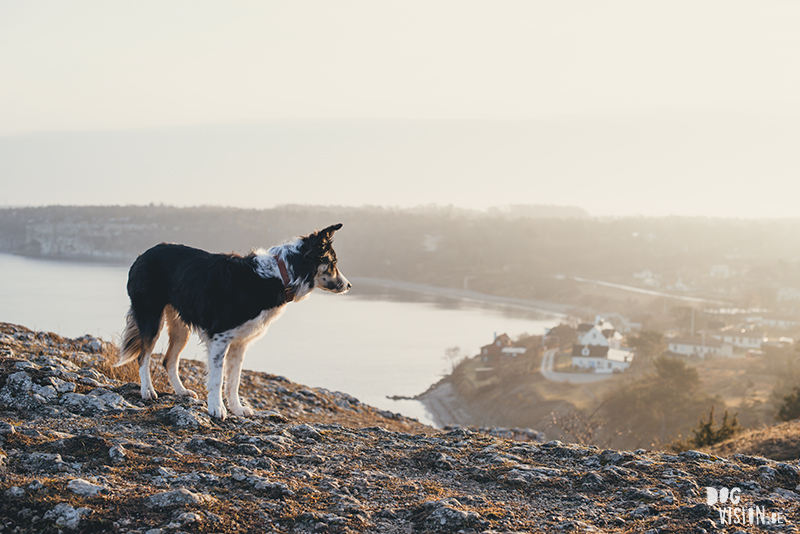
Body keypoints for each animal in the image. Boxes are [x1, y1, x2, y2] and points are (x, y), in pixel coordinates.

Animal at [116, 224, 350, 420]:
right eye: (333, 264)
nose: (348, 285)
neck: (280, 276)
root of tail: (143, 255)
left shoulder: (240, 342)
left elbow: (234, 380)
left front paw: (237, 409)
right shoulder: (220, 337)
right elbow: (217, 378)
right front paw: (216, 409)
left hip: (180, 326)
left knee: (168, 360)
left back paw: (182, 391)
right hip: (151, 316)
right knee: (143, 356)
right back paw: (148, 391)